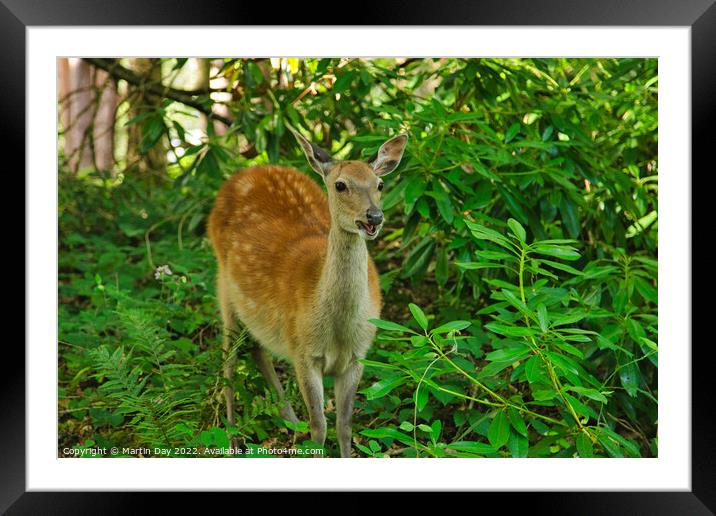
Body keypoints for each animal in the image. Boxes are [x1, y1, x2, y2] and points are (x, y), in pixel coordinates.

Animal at [207, 128, 408, 456]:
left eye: (380, 184)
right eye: (340, 185)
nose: (374, 217)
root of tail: (246, 172)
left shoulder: (358, 355)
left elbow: (344, 425)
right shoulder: (302, 351)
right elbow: (319, 426)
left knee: (257, 348)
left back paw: (290, 423)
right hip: (224, 288)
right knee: (229, 360)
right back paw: (232, 437)